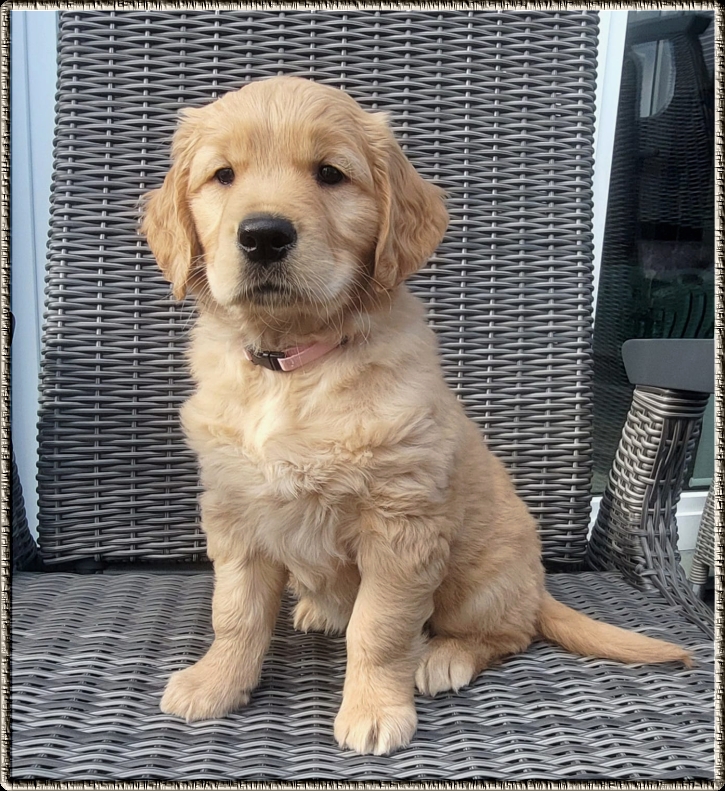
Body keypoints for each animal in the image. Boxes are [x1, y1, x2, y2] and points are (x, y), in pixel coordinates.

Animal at [141, 76, 691, 756]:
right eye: (223, 175)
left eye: (330, 174)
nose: (264, 235)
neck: (291, 367)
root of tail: (537, 585)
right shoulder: (236, 512)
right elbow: (236, 614)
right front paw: (215, 683)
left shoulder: (401, 528)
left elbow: (378, 629)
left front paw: (376, 708)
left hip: (479, 581)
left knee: (508, 632)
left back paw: (445, 657)